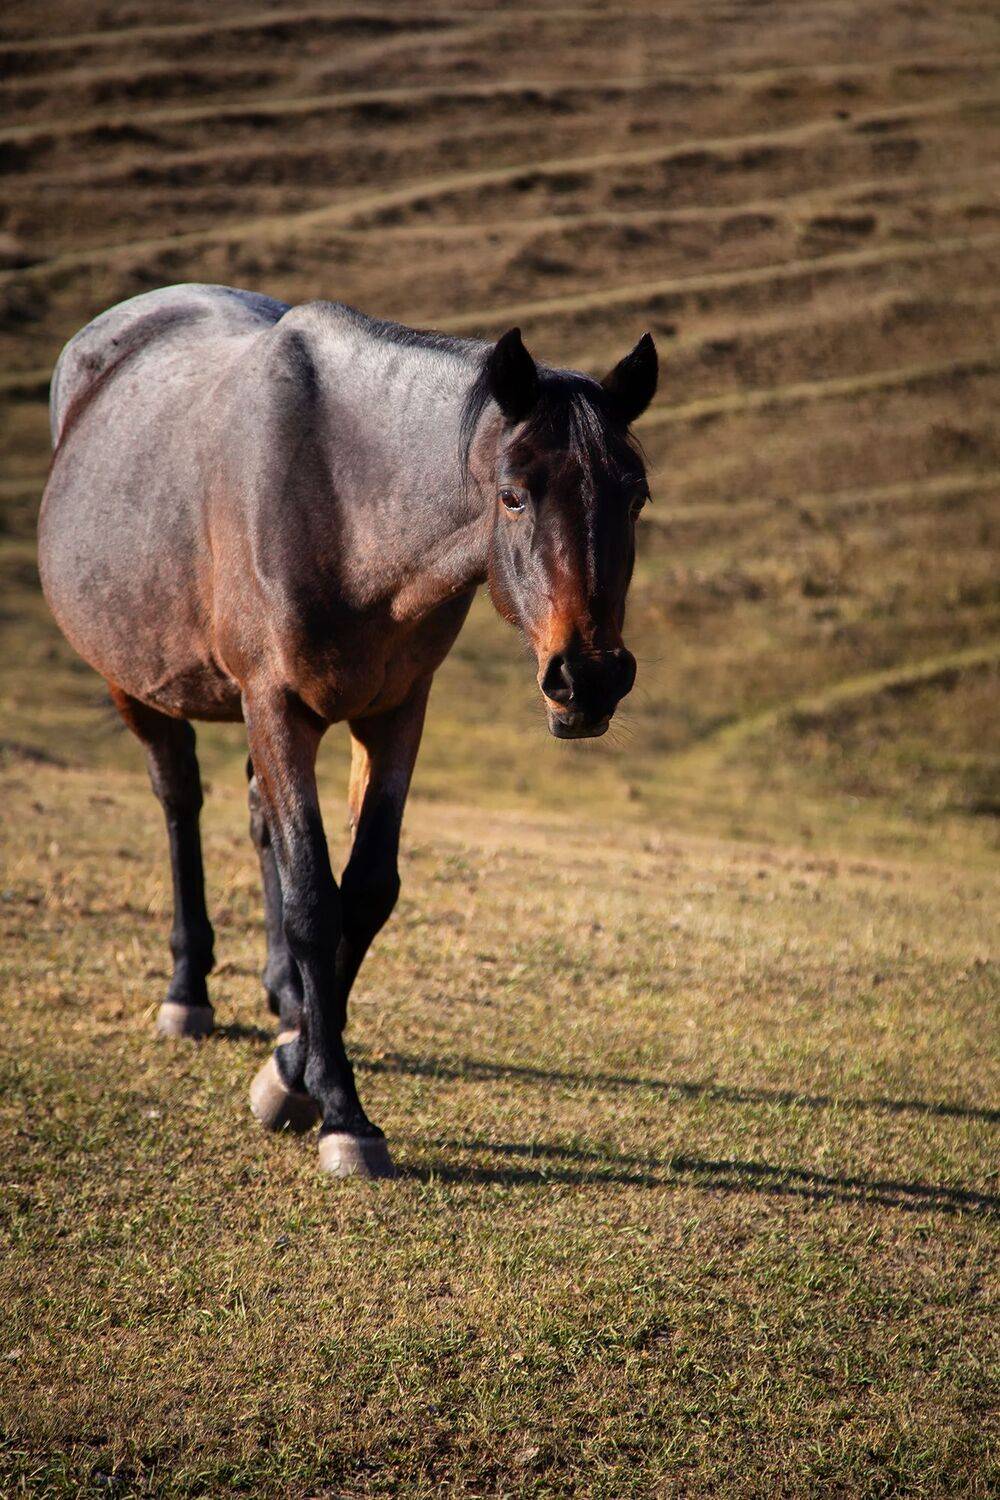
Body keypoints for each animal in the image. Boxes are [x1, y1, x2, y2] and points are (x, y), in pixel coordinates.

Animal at [38, 283, 657, 1178]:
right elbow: (311, 900)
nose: (591, 677)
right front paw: (335, 1108)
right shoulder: (276, 705)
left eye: (635, 496)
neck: (339, 505)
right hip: (138, 686)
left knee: (259, 818)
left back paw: (287, 995)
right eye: (513, 493)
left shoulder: (396, 711)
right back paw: (189, 991)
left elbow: (364, 892)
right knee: (179, 799)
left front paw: (295, 1060)